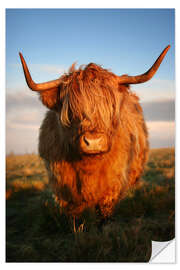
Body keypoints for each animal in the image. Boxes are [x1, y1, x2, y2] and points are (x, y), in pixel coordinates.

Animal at [19, 45, 170, 216]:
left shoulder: (111, 188)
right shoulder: (64, 191)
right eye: (71, 110)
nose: (93, 142)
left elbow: (104, 214)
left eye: (111, 106)